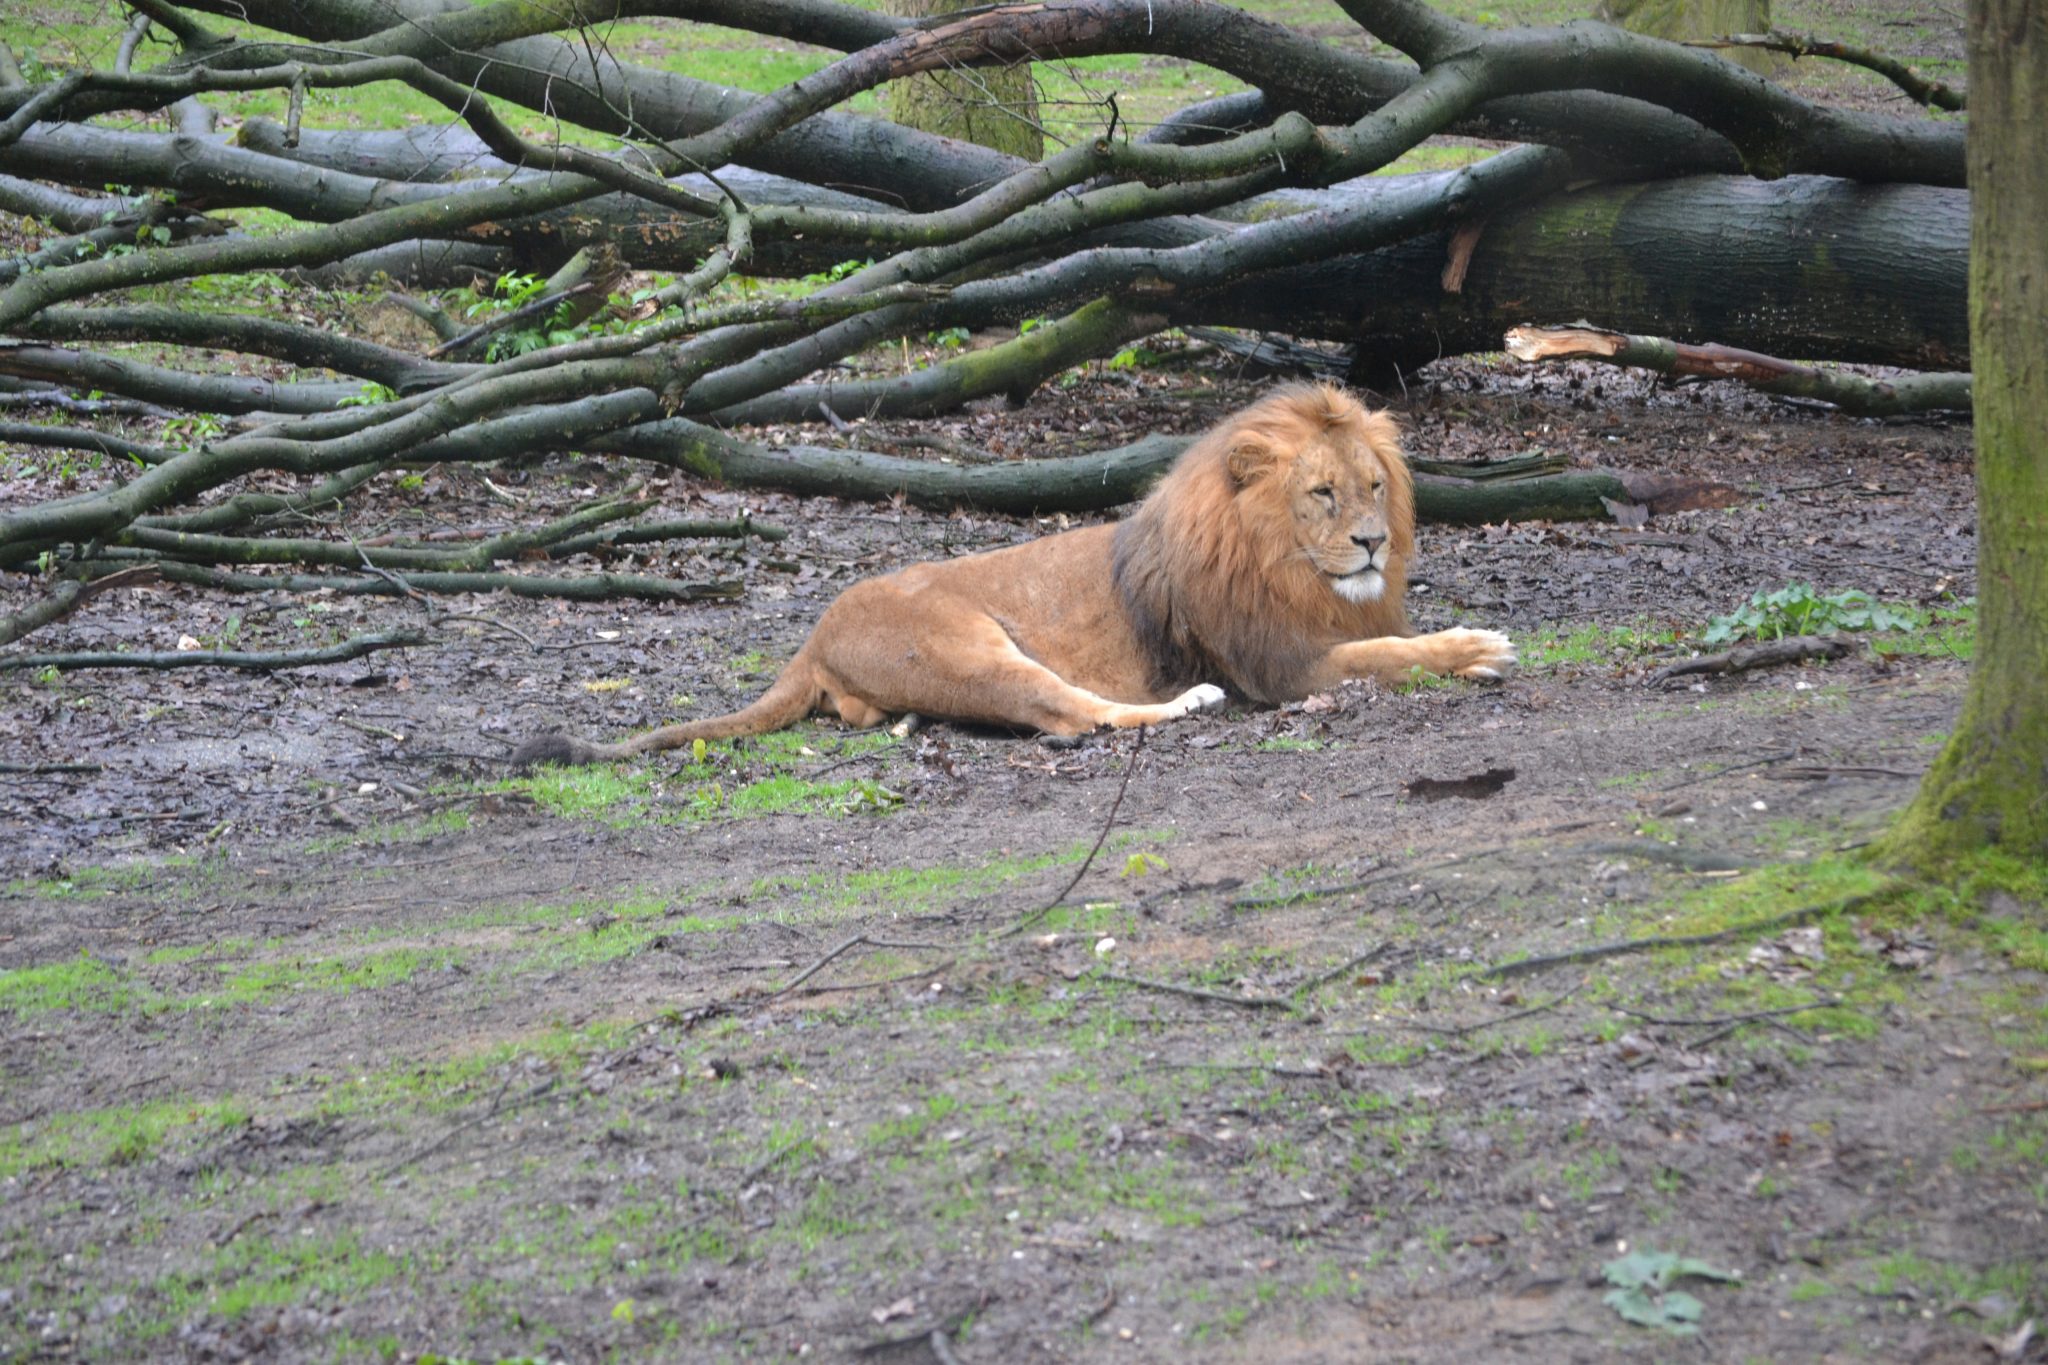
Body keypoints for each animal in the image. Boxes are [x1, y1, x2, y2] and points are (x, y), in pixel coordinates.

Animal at [512, 384, 1523, 769]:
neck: (1297, 572)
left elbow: (1390, 639)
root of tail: (811, 638)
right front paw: (1476, 646)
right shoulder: (1283, 667)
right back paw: (1188, 703)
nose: (1373, 544)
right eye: (1321, 493)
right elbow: (1387, 657)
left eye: (1376, 486)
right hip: (967, 644)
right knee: (1070, 714)